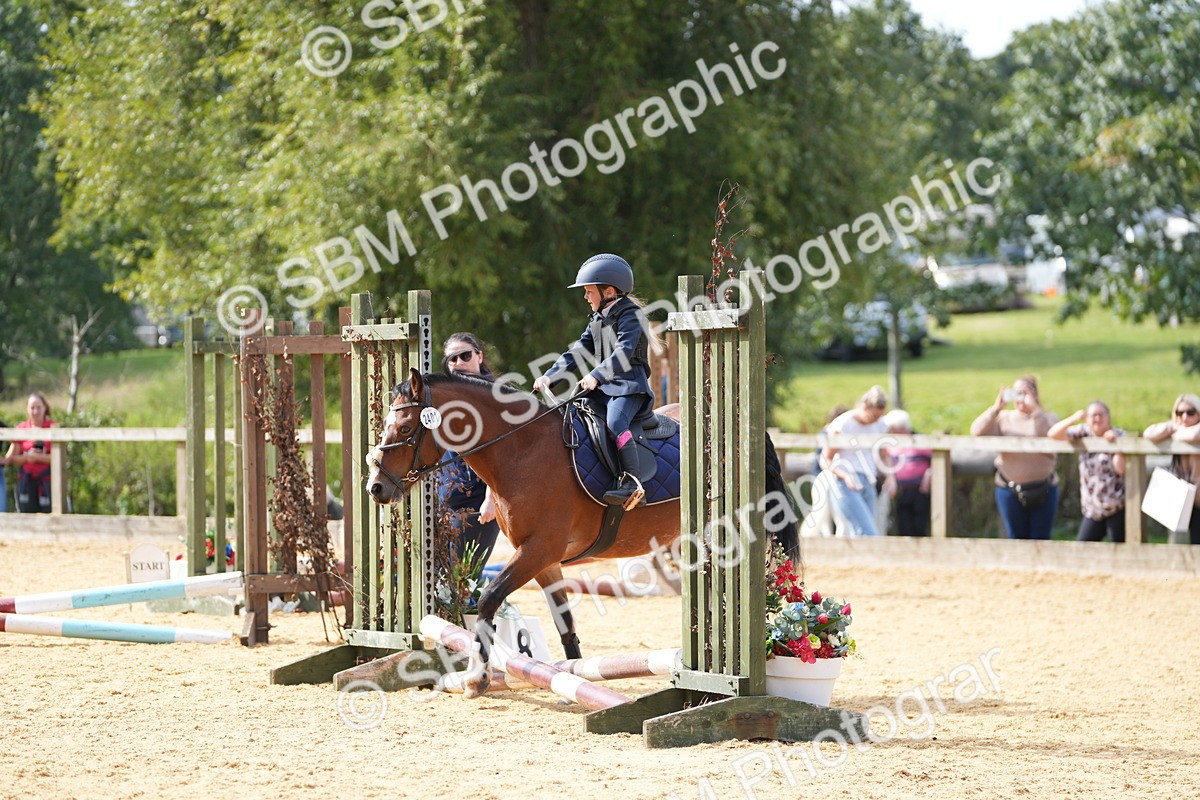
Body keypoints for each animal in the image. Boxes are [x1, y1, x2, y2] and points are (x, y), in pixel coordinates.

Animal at [366, 369, 798, 698]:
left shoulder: (538, 550)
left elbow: (488, 600)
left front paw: (476, 679)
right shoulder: (542, 560)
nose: (376, 488)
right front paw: (572, 679)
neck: (520, 452)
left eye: (405, 426)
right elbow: (566, 625)